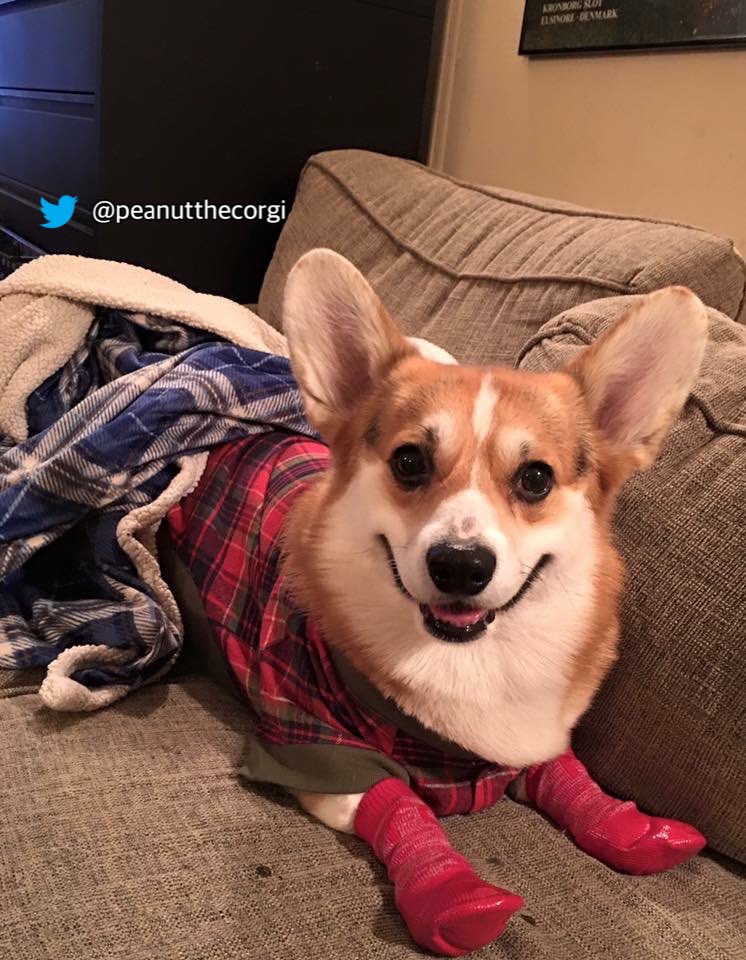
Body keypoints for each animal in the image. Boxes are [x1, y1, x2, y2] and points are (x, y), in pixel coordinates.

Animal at [166, 251, 708, 956]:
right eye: (409, 462)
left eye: (536, 478)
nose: (460, 566)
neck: (475, 663)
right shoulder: (318, 751)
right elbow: (406, 802)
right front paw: (453, 895)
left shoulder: (532, 741)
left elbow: (559, 769)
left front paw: (629, 825)